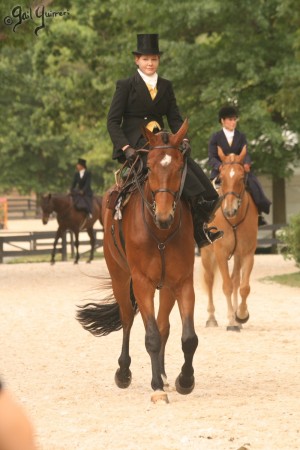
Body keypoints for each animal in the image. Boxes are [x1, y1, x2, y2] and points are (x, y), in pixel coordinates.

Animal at [77, 120, 199, 404]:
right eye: (150, 167)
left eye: (180, 167)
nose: (164, 216)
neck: (161, 233)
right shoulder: (142, 283)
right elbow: (150, 335)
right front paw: (156, 388)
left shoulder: (183, 282)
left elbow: (188, 337)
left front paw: (184, 380)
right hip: (121, 278)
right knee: (127, 320)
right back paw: (124, 372)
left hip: (166, 288)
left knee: (164, 325)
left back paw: (164, 374)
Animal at [199, 147, 258, 330]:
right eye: (221, 178)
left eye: (241, 177)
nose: (230, 210)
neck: (234, 220)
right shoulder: (220, 253)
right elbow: (226, 286)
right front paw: (232, 320)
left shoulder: (247, 253)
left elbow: (244, 287)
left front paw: (241, 315)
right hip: (206, 253)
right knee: (209, 280)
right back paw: (211, 318)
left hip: (237, 255)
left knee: (236, 280)